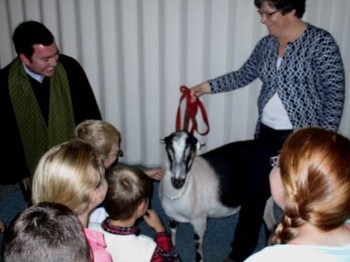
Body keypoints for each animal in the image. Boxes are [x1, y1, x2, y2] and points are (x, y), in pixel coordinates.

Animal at [159, 131, 239, 262]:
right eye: (170, 147)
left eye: (190, 149)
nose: (177, 181)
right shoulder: (172, 217)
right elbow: (172, 236)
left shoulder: (199, 221)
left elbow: (197, 246)